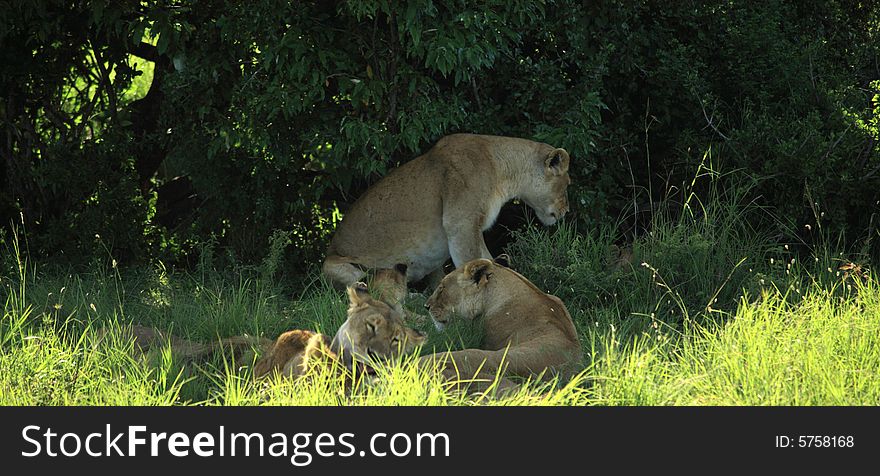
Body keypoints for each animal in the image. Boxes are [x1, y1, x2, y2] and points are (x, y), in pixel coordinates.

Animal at [322, 135, 572, 290]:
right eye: (567, 184)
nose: (566, 211)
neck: (502, 171)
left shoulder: (474, 227)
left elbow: (488, 259)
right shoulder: (460, 224)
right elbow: (473, 261)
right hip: (335, 266)